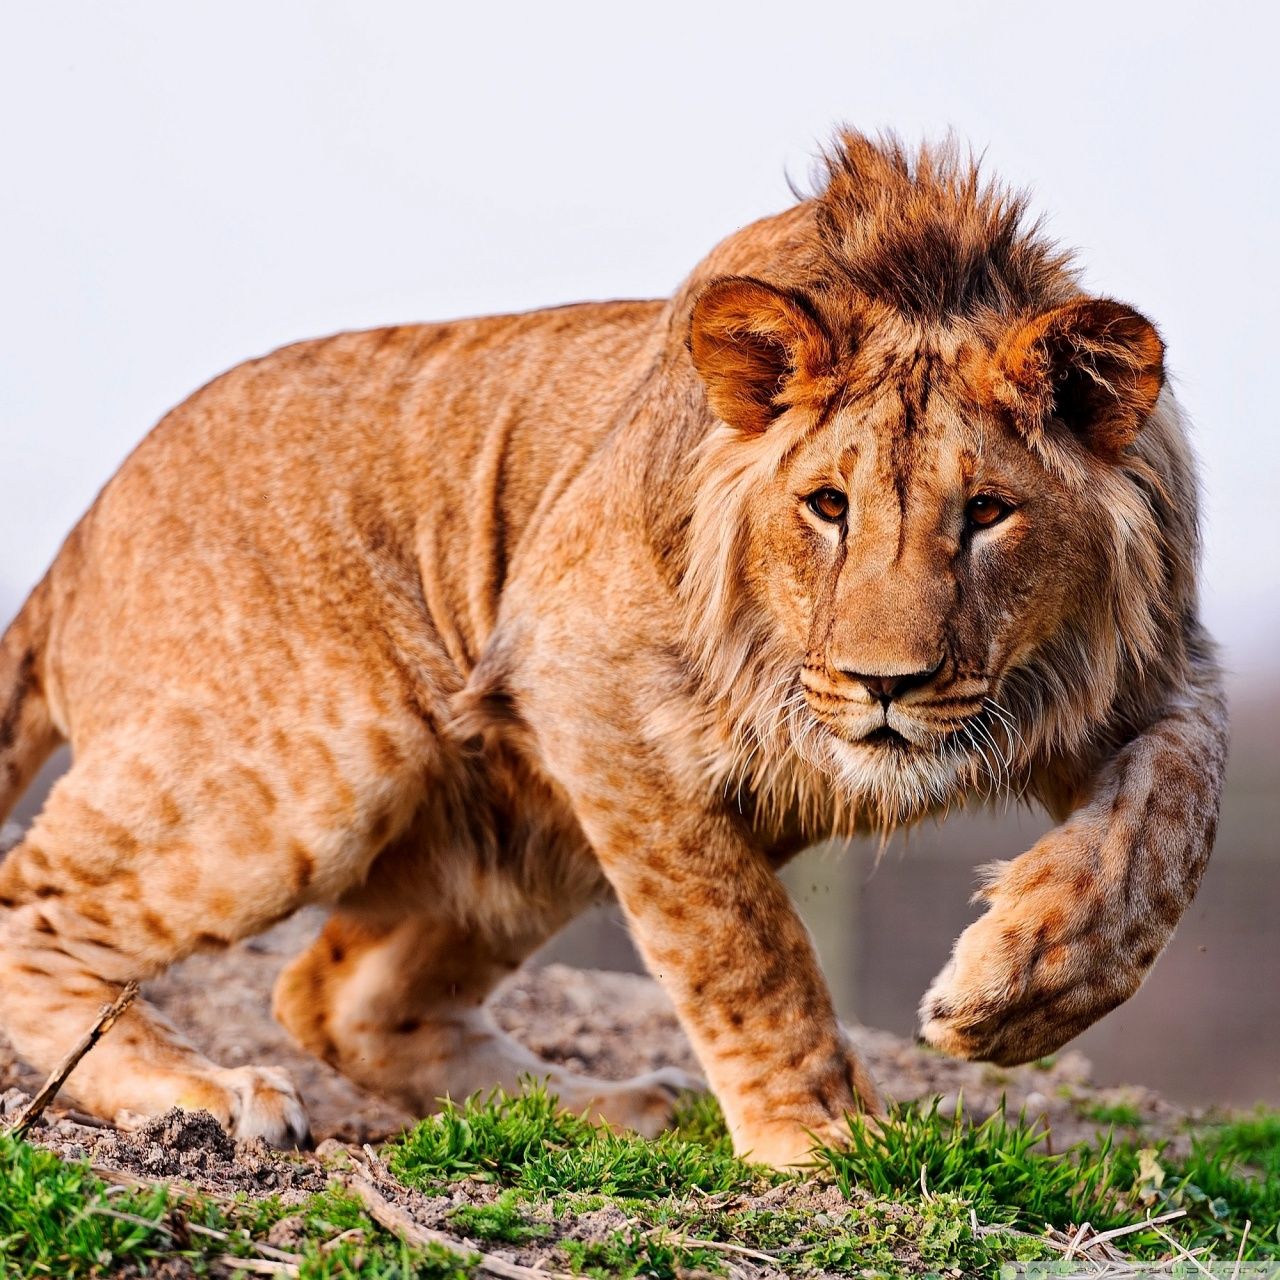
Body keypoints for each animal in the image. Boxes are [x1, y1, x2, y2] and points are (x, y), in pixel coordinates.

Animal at [0, 132, 1227, 1167]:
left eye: (986, 513)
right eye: (828, 506)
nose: (888, 685)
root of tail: (80, 536)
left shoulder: (1145, 670)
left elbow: (1172, 822)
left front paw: (1015, 992)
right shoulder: (589, 685)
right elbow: (740, 941)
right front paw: (818, 1136)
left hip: (521, 833)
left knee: (336, 997)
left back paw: (612, 1107)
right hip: (326, 760)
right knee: (34, 904)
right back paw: (203, 1091)